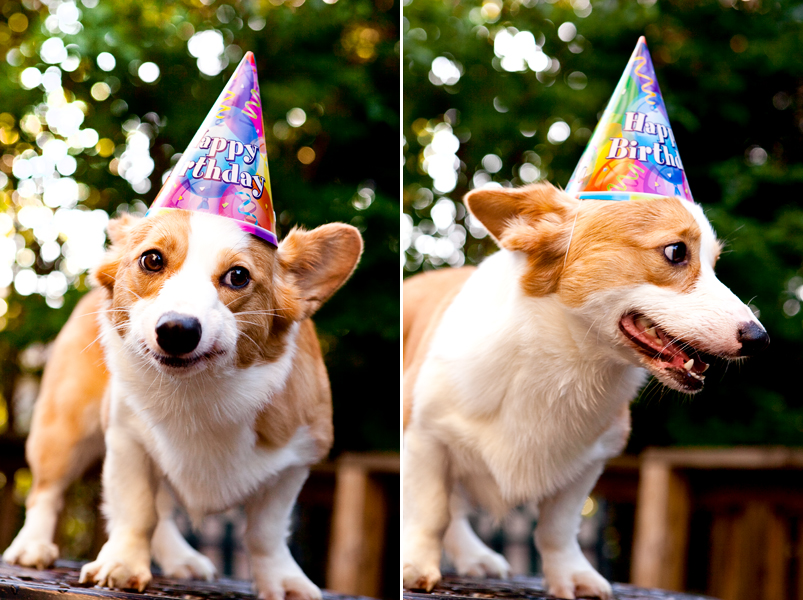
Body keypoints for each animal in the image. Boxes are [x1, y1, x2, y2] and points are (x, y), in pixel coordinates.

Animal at [3, 210, 362, 600]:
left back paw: (181, 559)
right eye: (152, 259)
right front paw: (123, 564)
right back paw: (31, 547)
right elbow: (137, 510)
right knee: (47, 493)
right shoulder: (127, 440)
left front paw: (282, 582)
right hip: (64, 432)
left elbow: (265, 532)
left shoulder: (292, 464)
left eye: (238, 276)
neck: (196, 393)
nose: (177, 329)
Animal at [406, 184, 768, 600]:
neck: (569, 361)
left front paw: (572, 576)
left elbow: (558, 528)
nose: (760, 339)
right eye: (676, 251)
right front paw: (416, 566)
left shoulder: (588, 464)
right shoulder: (425, 438)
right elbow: (432, 512)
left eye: (715, 263)